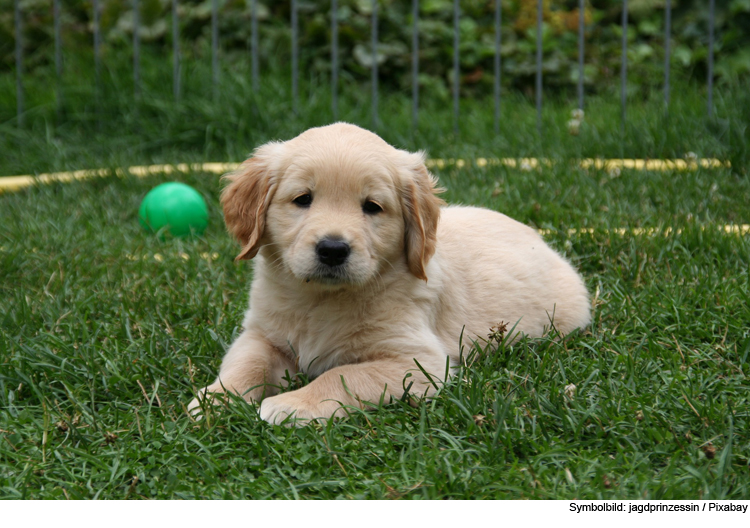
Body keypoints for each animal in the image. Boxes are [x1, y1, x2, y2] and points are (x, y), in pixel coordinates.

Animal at [187, 121, 588, 422]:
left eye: (372, 206)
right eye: (302, 199)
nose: (333, 249)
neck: (322, 300)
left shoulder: (415, 361)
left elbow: (343, 375)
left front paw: (292, 403)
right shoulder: (262, 333)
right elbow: (246, 363)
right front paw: (216, 398)